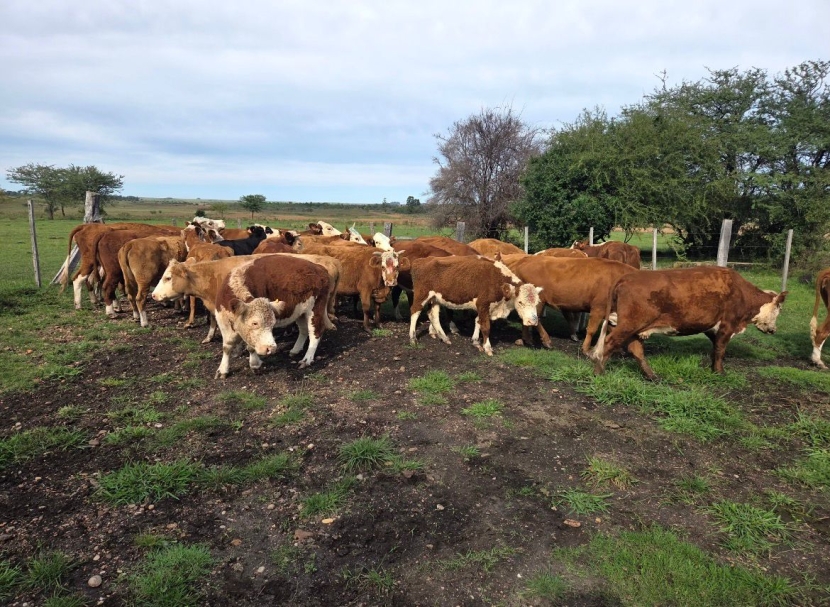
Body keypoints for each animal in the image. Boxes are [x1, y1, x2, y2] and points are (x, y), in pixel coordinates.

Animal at [408, 256, 542, 356]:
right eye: (520, 302)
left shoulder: (484, 308)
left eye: (536, 303)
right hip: (422, 295)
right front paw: (487, 347)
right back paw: (413, 338)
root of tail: (421, 260)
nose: (533, 321)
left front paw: (476, 341)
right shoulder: (483, 304)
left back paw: (444, 338)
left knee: (433, 315)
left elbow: (478, 321)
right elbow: (485, 326)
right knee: (415, 312)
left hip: (435, 299)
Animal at [499, 254, 638, 353]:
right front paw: (586, 349)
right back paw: (546, 340)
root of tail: (523, 260)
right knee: (536, 320)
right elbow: (591, 330)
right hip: (538, 301)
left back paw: (527, 340)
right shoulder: (598, 308)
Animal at [589, 267, 787, 380]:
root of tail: (625, 278)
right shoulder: (727, 324)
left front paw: (713, 367)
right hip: (629, 324)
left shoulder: (711, 326)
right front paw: (720, 372)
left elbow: (715, 347)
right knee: (609, 342)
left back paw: (651, 376)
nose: (774, 330)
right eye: (779, 310)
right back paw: (599, 372)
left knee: (636, 349)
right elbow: (720, 349)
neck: (741, 292)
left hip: (629, 325)